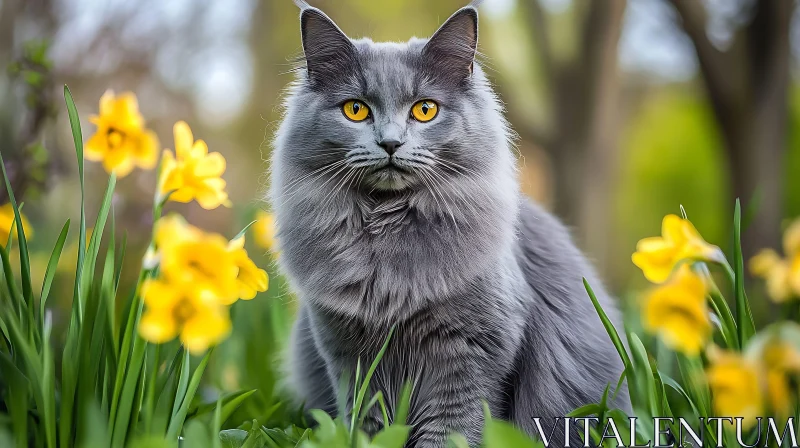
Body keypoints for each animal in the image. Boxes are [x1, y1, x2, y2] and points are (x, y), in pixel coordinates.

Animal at [272, 4, 628, 448]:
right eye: (356, 109)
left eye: (425, 110)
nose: (390, 143)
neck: (386, 238)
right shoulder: (349, 361)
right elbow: (370, 427)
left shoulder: (471, 357)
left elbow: (451, 430)